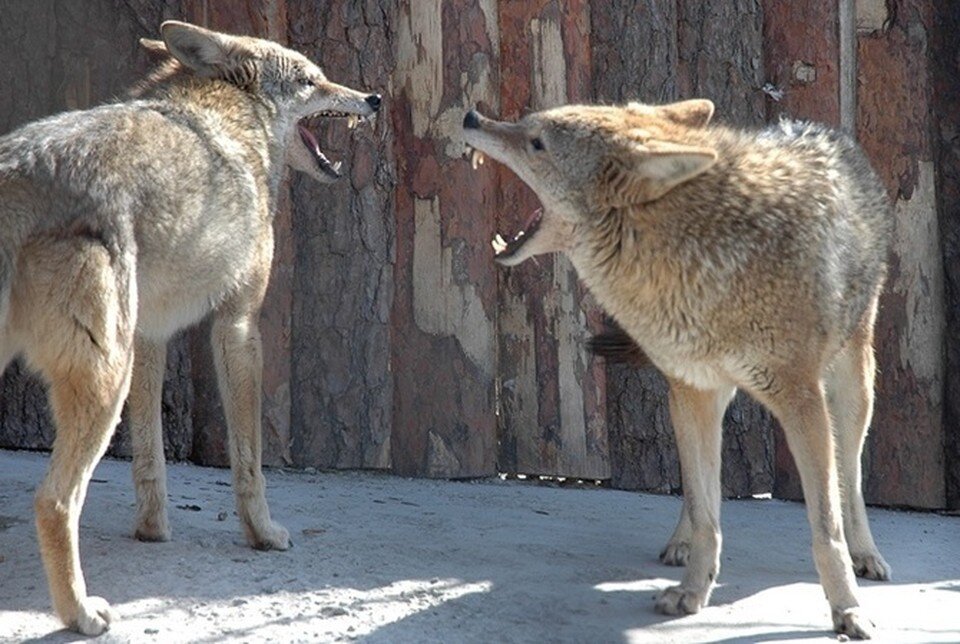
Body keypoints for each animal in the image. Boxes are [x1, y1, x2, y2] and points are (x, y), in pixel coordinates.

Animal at [0, 20, 382, 632]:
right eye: (311, 80)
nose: (373, 98)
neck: (232, 121)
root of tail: (18, 175)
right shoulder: (240, 326)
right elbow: (249, 460)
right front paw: (263, 535)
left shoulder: (150, 336)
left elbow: (151, 455)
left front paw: (153, 530)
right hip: (105, 382)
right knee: (55, 501)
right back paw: (81, 614)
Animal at [464, 100, 892, 640]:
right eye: (525, 125)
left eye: (536, 142)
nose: (471, 117)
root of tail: (820, 129)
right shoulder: (696, 388)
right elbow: (708, 514)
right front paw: (693, 592)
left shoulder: (802, 401)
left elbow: (825, 526)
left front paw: (848, 609)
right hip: (692, 398)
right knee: (694, 490)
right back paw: (681, 543)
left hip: (852, 390)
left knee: (850, 478)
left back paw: (867, 555)